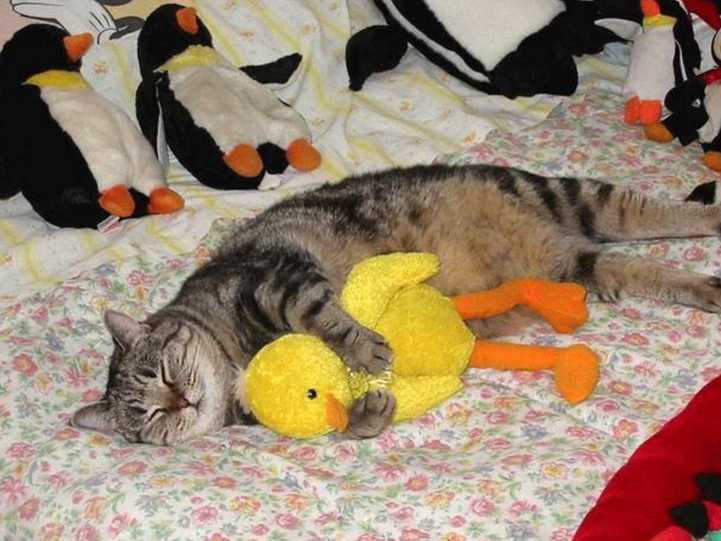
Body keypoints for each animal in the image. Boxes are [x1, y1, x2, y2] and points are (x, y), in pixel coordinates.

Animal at [71, 163, 721, 445]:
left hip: (564, 195)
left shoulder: (273, 278)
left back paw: (708, 216)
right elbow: (343, 424)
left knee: (658, 214)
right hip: (573, 263)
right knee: (638, 266)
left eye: (161, 372)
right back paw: (706, 287)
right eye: (149, 418)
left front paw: (364, 348)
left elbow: (321, 317)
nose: (179, 401)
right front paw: (368, 411)